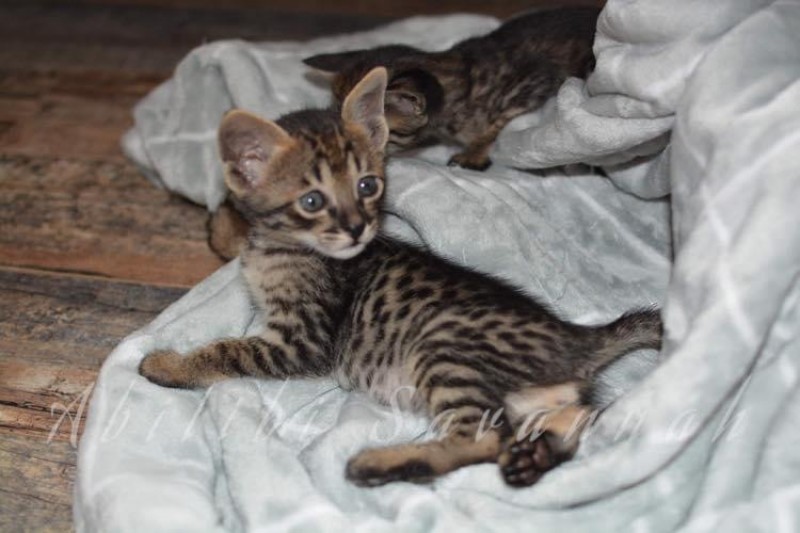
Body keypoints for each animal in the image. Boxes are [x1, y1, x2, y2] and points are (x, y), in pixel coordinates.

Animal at [139, 66, 664, 486]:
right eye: (312, 201)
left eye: (368, 185)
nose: (357, 228)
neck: (283, 246)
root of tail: (578, 338)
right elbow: (235, 239)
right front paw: (223, 224)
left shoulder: (303, 339)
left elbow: (229, 349)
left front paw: (170, 365)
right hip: (531, 394)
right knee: (573, 418)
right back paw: (532, 456)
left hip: (444, 347)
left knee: (484, 437)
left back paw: (381, 463)